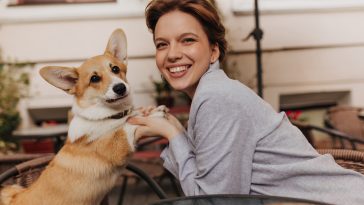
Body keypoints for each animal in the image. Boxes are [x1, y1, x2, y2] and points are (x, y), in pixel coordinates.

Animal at [0, 28, 167, 205]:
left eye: (115, 69)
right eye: (94, 78)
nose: (120, 88)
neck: (107, 117)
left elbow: (131, 117)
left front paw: (147, 111)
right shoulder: (117, 146)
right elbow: (127, 125)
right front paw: (154, 114)